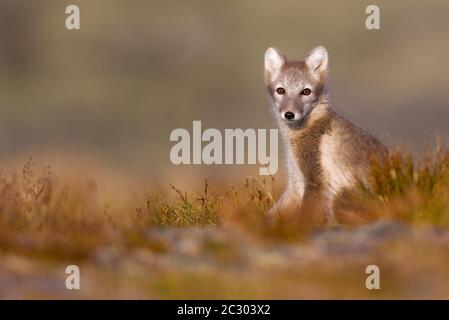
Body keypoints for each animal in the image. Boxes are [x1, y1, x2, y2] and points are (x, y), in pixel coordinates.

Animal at [264, 46, 386, 224]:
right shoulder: (295, 182)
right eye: (281, 90)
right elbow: (272, 214)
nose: (289, 114)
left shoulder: (314, 180)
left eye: (306, 91)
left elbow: (304, 217)